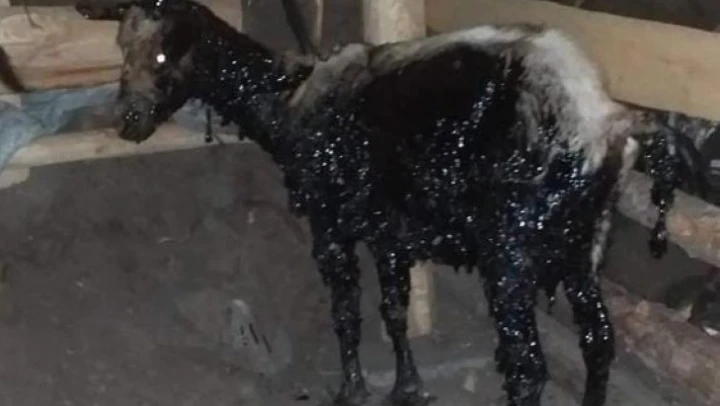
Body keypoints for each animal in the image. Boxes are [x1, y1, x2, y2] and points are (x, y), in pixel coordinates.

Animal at [75, 1, 704, 405]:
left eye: (164, 57)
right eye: (121, 48)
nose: (127, 122)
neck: (289, 98)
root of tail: (608, 121)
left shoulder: (329, 223)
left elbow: (347, 311)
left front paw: (351, 389)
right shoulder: (388, 228)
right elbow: (395, 310)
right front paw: (408, 388)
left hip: (511, 248)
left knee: (527, 366)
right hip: (583, 245)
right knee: (599, 343)